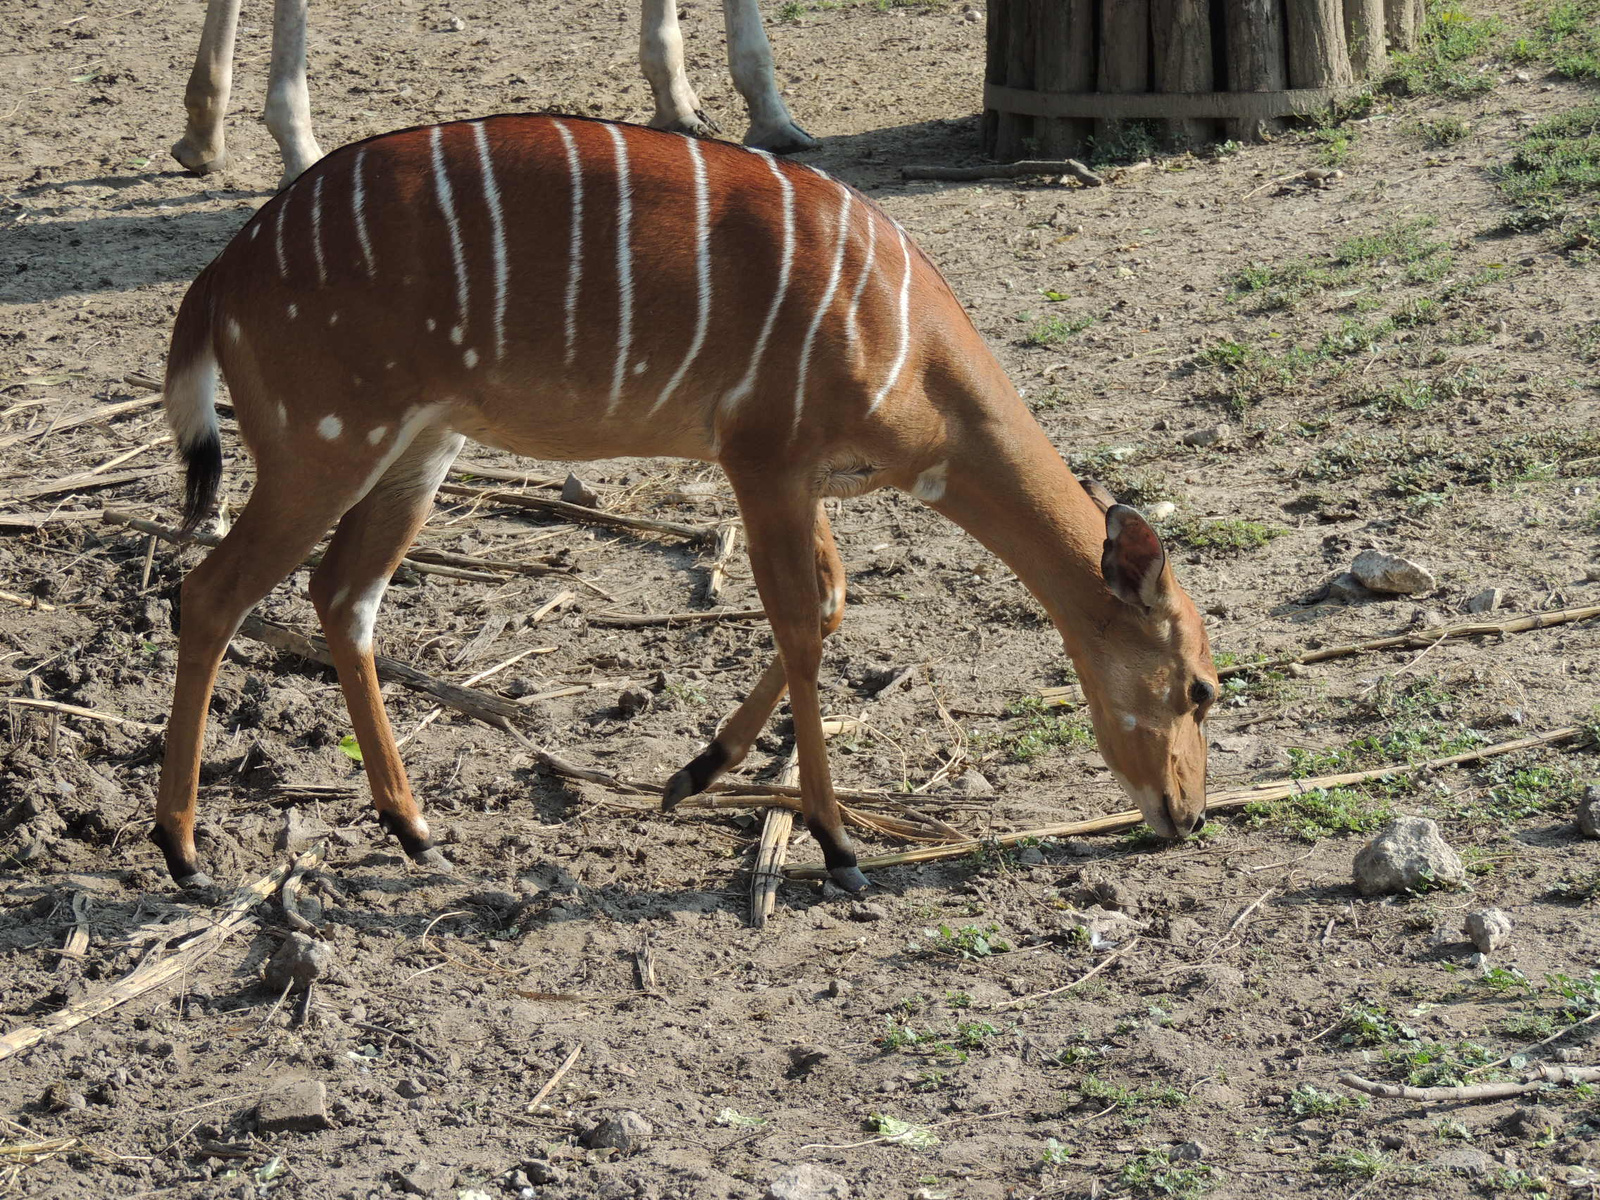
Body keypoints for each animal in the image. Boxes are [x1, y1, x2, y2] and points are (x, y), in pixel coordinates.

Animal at [156, 112, 1216, 896]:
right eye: (1201, 687)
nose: (1188, 815)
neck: (909, 349)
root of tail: (220, 274)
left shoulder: (807, 479)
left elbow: (830, 604)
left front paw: (694, 773)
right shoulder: (764, 457)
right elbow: (800, 624)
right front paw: (836, 845)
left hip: (419, 449)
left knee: (343, 597)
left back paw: (416, 830)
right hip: (322, 446)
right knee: (208, 593)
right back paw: (184, 853)